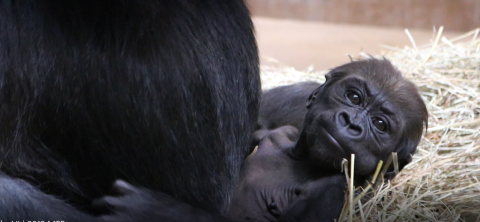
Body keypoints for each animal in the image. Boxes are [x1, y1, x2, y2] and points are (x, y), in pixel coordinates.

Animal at [227, 58, 430, 221]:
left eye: (380, 124)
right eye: (354, 97)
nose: (351, 122)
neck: (302, 159)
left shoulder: (335, 187)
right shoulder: (279, 133)